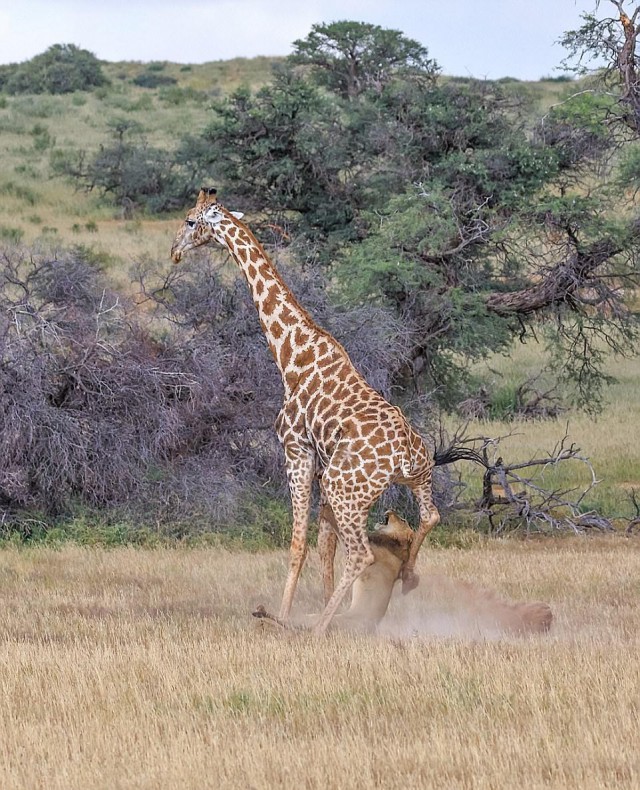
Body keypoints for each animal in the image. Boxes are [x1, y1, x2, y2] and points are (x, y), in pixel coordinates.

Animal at [170, 189, 440, 636]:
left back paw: (317, 627)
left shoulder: (296, 451)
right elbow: (323, 545)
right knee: (430, 516)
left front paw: (281, 614)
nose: (174, 250)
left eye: (192, 221)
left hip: (344, 486)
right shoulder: (321, 459)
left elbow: (297, 543)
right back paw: (408, 578)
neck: (291, 355)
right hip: (411, 478)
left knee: (362, 552)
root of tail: (403, 455)